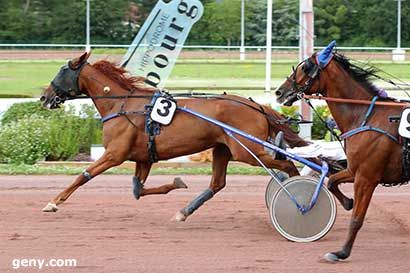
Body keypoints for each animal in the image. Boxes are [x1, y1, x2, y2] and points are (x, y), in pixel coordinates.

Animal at [40, 51, 308, 221]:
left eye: (62, 70)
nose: (44, 96)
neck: (122, 105)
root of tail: (257, 106)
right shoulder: (144, 157)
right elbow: (138, 190)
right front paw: (178, 183)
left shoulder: (115, 154)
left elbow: (83, 175)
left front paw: (53, 202)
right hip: (223, 149)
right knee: (217, 183)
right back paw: (184, 212)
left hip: (247, 151)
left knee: (286, 163)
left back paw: (300, 196)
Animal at [276, 41, 406, 262]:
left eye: (305, 67)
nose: (279, 92)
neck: (366, 116)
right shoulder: (355, 170)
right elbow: (331, 181)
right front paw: (347, 202)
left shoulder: (367, 177)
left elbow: (357, 219)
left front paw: (342, 252)